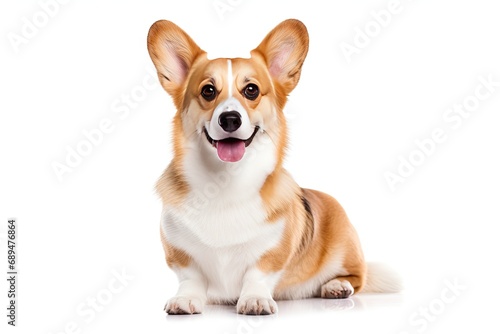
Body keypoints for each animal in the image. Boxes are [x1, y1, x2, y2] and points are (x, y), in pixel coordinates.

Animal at [146, 18, 400, 316]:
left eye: (251, 90)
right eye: (208, 90)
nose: (229, 119)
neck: (224, 182)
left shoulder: (271, 252)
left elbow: (258, 273)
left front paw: (255, 299)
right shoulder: (180, 253)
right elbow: (191, 278)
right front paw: (185, 299)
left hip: (347, 253)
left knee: (357, 277)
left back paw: (336, 286)